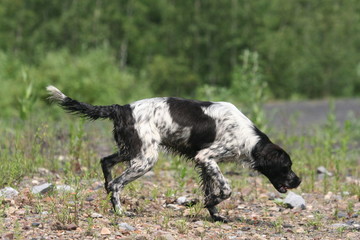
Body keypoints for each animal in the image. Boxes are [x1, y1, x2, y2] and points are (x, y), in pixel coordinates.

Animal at [47, 85, 300, 222]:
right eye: (286, 166)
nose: (298, 180)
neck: (248, 137)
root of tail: (122, 108)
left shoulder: (204, 163)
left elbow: (211, 191)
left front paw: (214, 214)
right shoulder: (206, 157)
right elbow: (226, 189)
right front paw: (212, 203)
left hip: (132, 152)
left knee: (106, 164)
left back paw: (109, 193)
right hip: (145, 159)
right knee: (117, 183)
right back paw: (120, 212)